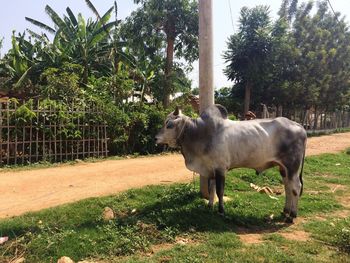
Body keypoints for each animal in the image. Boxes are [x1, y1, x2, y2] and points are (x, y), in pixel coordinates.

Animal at [156, 104, 306, 223]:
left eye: (169, 124)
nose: (156, 138)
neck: (200, 133)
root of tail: (299, 126)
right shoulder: (210, 170)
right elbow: (211, 190)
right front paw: (209, 206)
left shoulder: (221, 169)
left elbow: (219, 191)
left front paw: (221, 211)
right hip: (283, 169)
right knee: (287, 187)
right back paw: (285, 211)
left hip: (292, 167)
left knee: (295, 187)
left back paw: (292, 215)